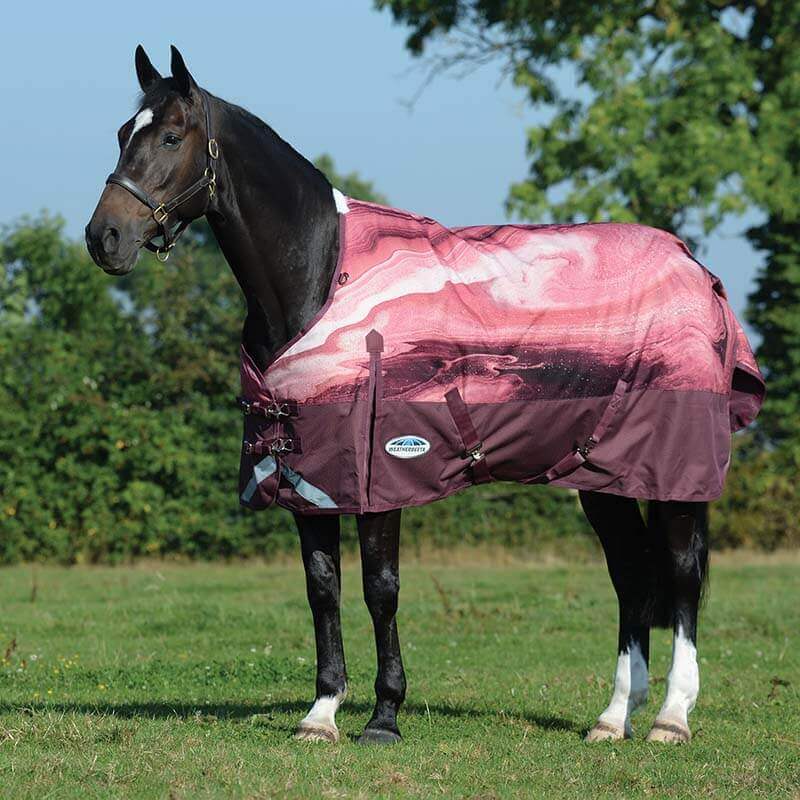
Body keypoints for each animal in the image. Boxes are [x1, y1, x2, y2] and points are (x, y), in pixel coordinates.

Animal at [86, 46, 762, 745]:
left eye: (171, 136)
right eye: (122, 132)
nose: (103, 237)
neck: (322, 274)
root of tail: (695, 269)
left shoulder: (381, 473)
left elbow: (379, 588)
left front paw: (384, 715)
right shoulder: (306, 474)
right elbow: (322, 589)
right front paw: (321, 713)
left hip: (672, 473)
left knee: (681, 576)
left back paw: (671, 717)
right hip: (603, 474)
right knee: (631, 577)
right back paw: (612, 718)